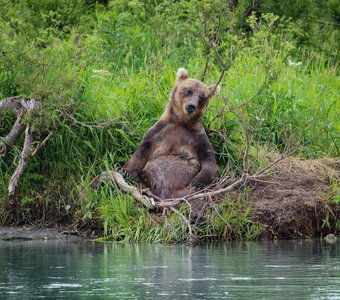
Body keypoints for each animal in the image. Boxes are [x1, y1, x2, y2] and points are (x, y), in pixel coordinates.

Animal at [123, 68, 219, 199]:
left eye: (202, 96)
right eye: (189, 91)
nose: (191, 106)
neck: (180, 121)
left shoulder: (197, 137)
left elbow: (209, 159)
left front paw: (197, 182)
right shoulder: (158, 131)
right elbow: (142, 150)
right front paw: (127, 172)